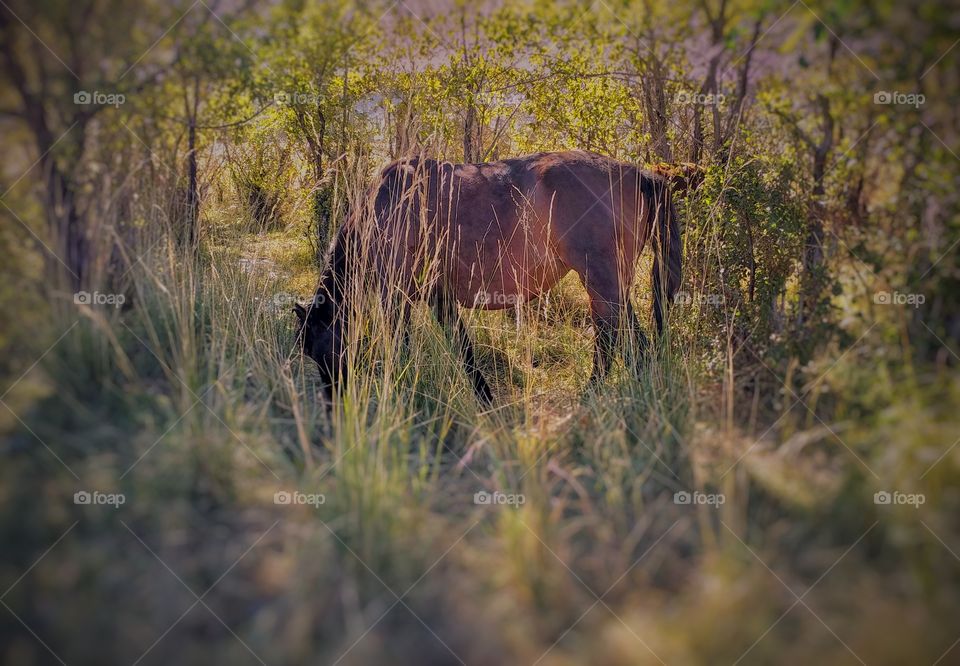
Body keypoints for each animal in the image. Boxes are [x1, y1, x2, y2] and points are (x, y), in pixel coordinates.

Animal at [292, 149, 684, 400]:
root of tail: (638, 173)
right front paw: (483, 395)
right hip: (612, 287)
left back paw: (593, 394)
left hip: (601, 283)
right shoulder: (438, 296)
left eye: (318, 347)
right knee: (633, 341)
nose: (334, 402)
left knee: (609, 340)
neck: (386, 204)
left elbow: (402, 345)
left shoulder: (396, 296)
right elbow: (462, 347)